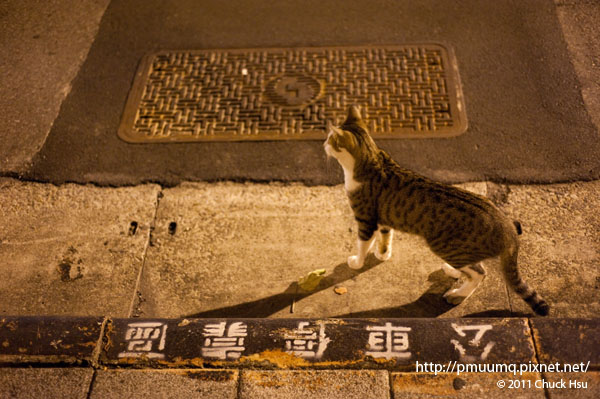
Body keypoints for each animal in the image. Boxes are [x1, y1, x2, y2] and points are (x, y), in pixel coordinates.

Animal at [324, 105, 548, 316]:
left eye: (330, 139)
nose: (323, 144)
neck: (370, 159)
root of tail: (507, 226)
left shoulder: (366, 219)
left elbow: (363, 244)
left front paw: (356, 262)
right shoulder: (385, 217)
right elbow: (385, 237)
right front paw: (383, 254)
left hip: (447, 246)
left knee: (480, 273)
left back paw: (458, 294)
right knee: (474, 267)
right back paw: (454, 272)